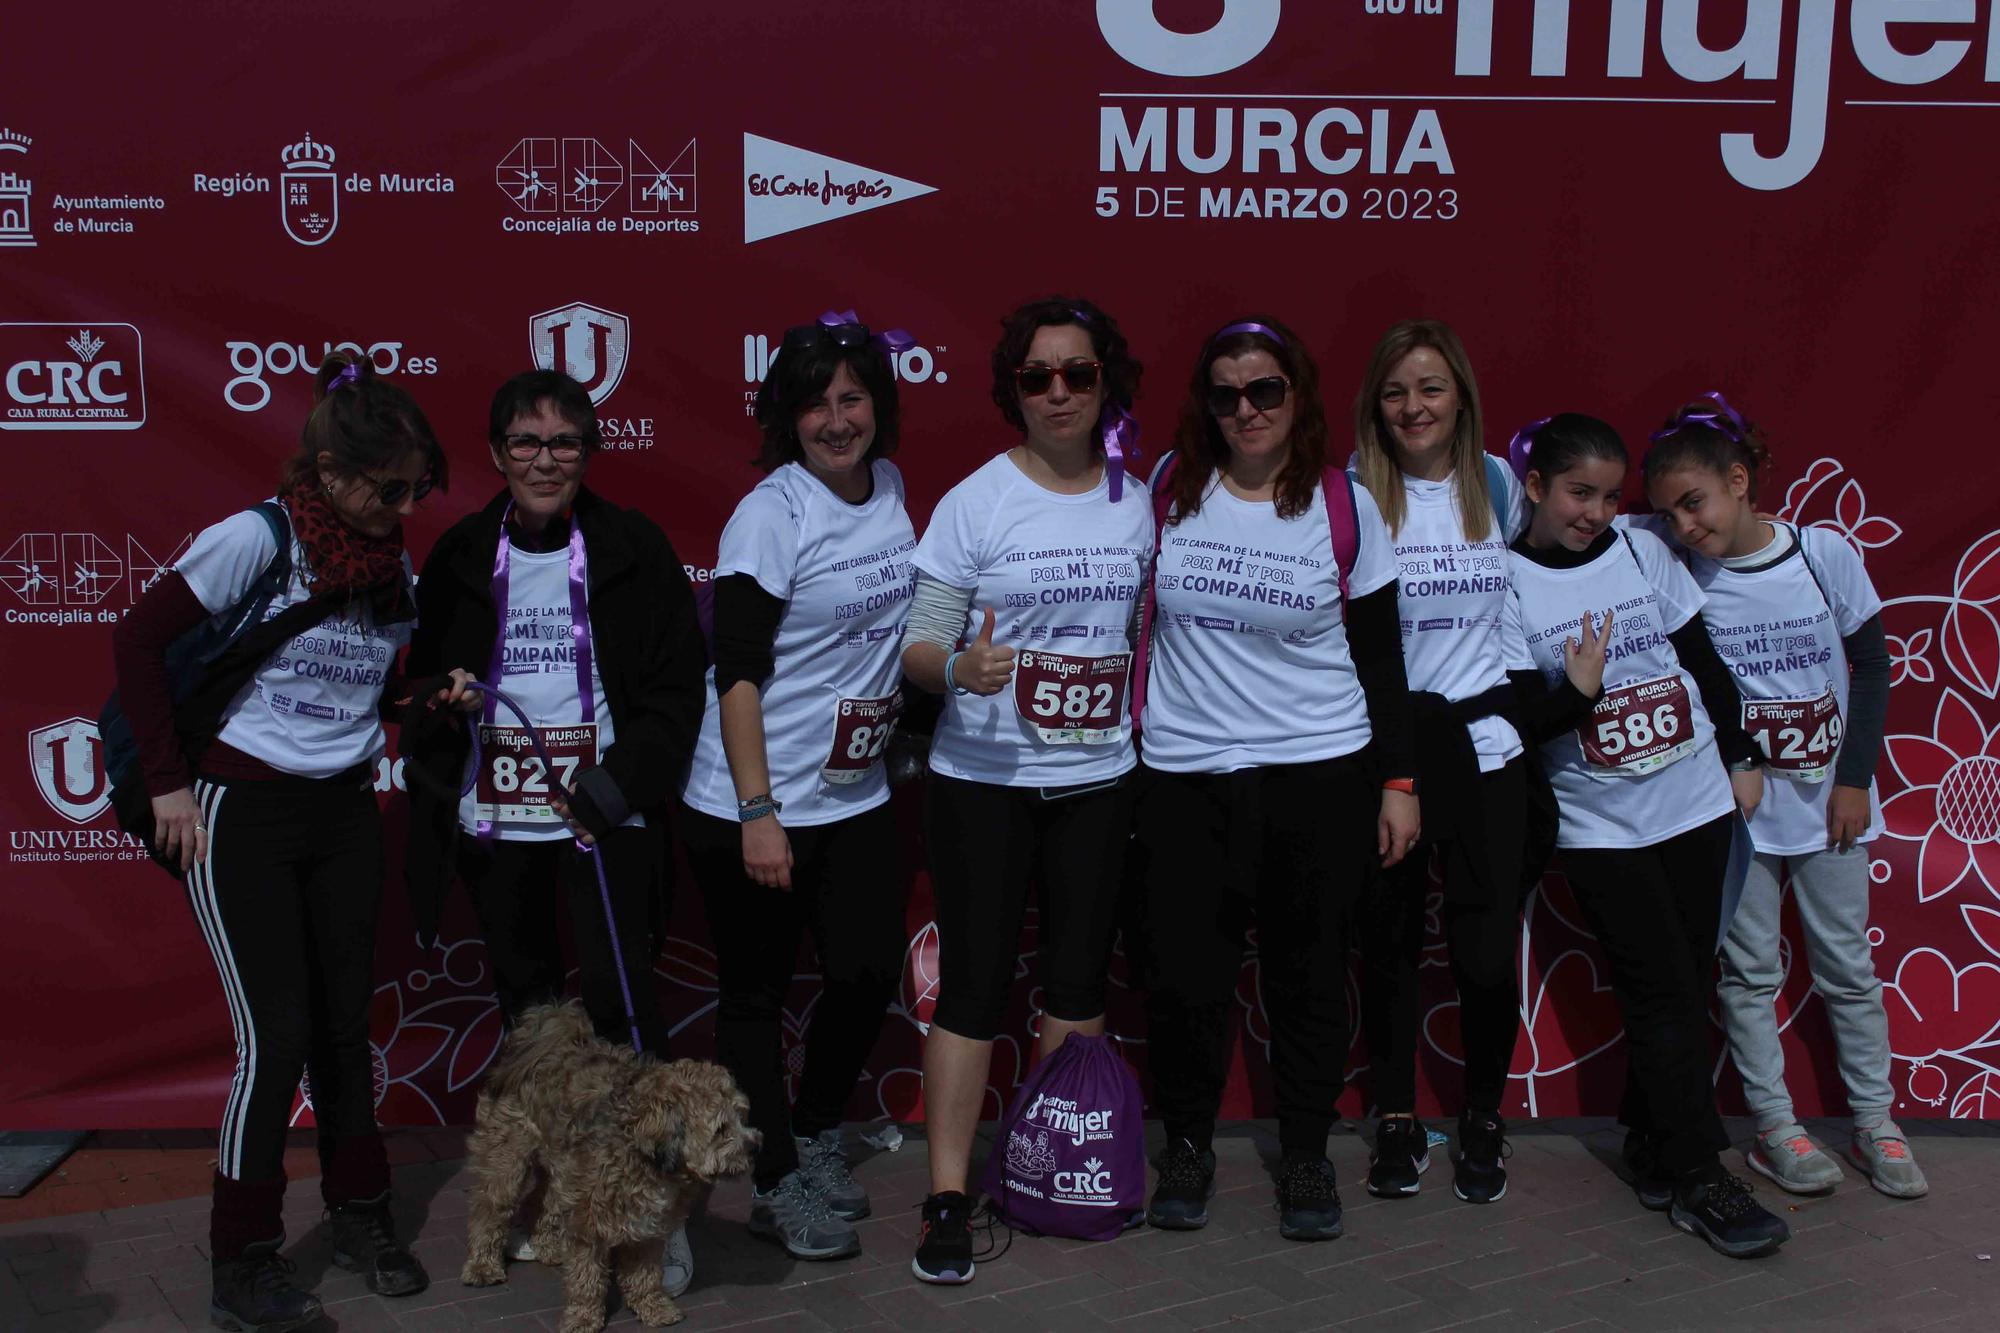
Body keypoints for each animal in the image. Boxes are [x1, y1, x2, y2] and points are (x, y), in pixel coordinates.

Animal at [460, 1000, 756, 1320]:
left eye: (742, 1116)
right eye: (721, 1129)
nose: (756, 1145)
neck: (639, 1147)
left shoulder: (647, 1226)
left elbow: (645, 1273)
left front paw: (653, 1306)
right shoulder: (589, 1223)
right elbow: (586, 1275)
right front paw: (583, 1317)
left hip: (563, 1167)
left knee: (542, 1200)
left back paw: (547, 1246)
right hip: (508, 1160)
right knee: (489, 1209)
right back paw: (482, 1265)